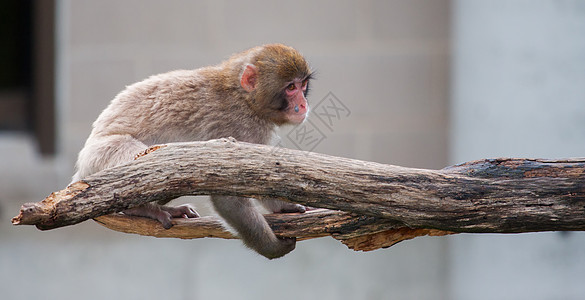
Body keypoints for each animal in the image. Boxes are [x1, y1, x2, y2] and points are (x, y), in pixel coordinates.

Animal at [73, 43, 314, 258]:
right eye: (290, 88)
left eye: (303, 86)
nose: (303, 105)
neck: (245, 99)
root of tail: (80, 172)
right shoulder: (238, 128)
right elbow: (229, 197)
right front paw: (271, 247)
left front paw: (284, 207)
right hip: (103, 158)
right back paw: (143, 209)